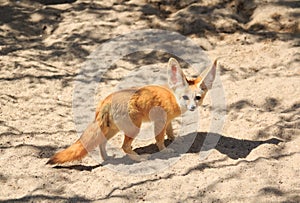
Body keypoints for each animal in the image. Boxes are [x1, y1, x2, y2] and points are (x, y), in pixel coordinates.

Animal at [46, 58, 216, 164]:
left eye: (198, 98)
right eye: (185, 97)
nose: (193, 107)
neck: (172, 97)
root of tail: (106, 100)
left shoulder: (167, 121)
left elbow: (170, 131)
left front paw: (175, 139)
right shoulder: (160, 121)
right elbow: (159, 140)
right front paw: (165, 150)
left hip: (113, 130)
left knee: (102, 143)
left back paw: (107, 158)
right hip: (134, 129)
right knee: (124, 147)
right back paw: (139, 158)